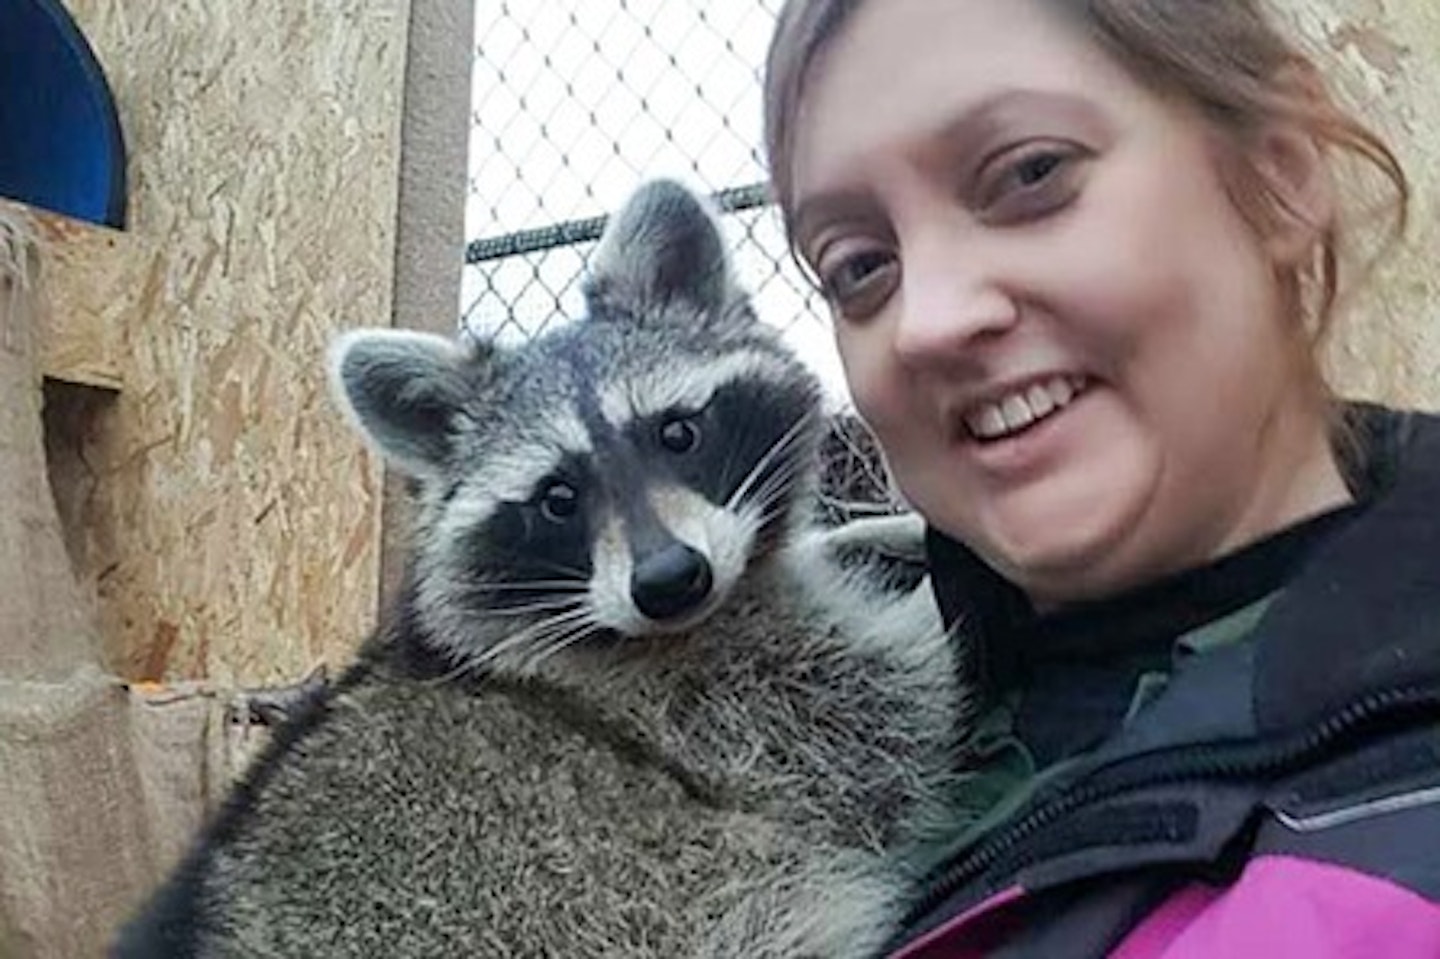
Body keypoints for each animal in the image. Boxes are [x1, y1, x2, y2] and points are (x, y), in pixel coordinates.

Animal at [112, 180, 970, 958]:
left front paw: (876, 534)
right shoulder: (717, 703)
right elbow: (899, 695)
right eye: (558, 497)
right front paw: (931, 593)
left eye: (678, 432)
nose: (670, 580)